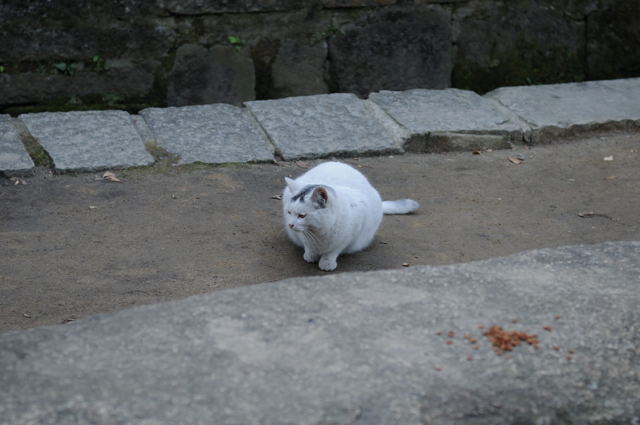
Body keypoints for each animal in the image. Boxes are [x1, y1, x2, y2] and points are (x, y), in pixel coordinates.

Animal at [282, 161, 418, 270]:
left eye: (302, 216)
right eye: (289, 212)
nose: (290, 225)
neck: (318, 232)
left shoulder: (351, 232)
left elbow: (334, 250)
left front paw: (327, 262)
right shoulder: (301, 234)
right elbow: (307, 243)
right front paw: (310, 255)